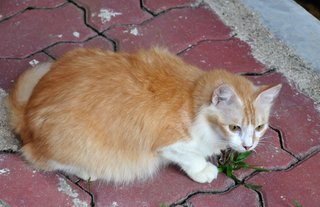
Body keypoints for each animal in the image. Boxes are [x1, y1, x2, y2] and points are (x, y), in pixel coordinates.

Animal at [4, 47, 280, 184]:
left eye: (259, 127)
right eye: (234, 127)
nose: (249, 145)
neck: (192, 98)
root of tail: (27, 113)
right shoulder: (169, 144)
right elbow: (191, 158)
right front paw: (203, 170)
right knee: (42, 159)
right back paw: (87, 171)